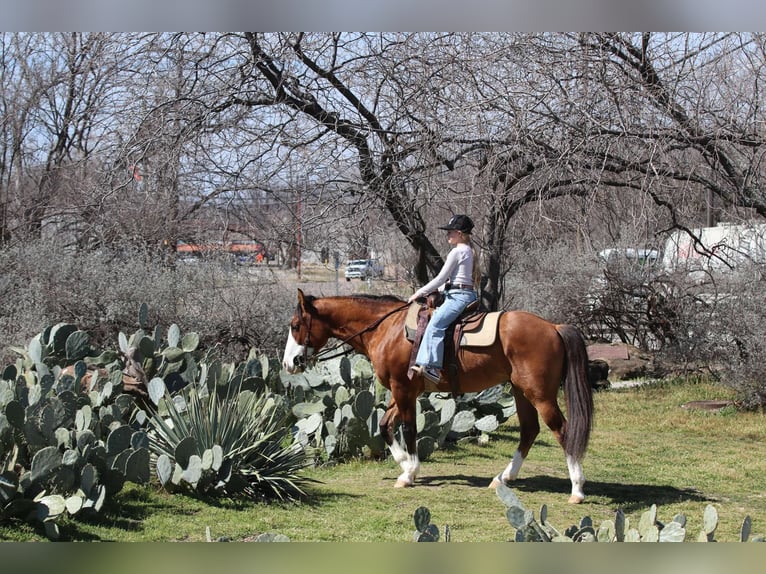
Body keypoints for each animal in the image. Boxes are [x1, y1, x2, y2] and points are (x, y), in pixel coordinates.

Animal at [282, 290, 592, 502]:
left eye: (295, 325)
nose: (288, 363)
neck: (388, 328)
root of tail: (553, 328)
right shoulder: (403, 390)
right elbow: (384, 425)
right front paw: (404, 465)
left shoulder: (403, 389)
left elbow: (409, 428)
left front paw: (410, 472)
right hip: (520, 392)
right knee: (529, 430)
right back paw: (503, 478)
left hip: (539, 394)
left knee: (563, 431)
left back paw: (577, 489)